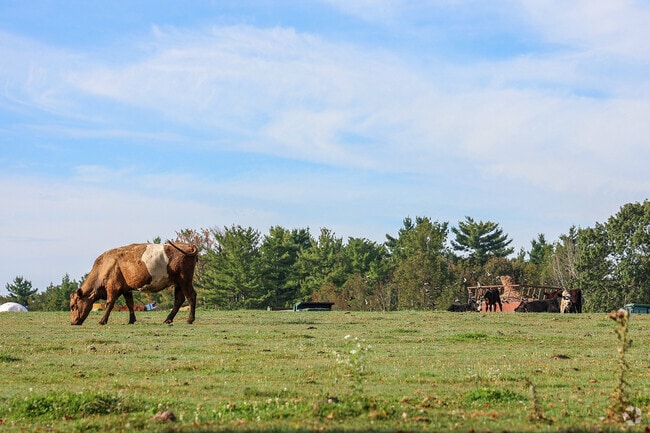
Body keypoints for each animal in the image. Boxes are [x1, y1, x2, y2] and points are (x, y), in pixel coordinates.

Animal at [70, 242, 198, 326]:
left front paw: (102, 321)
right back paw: (168, 320)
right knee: (179, 300)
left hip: (184, 280)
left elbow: (109, 304)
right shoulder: (126, 289)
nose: (72, 322)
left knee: (191, 296)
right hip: (178, 283)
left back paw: (190, 320)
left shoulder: (113, 287)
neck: (104, 265)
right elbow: (130, 304)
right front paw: (131, 320)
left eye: (73, 306)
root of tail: (187, 245)